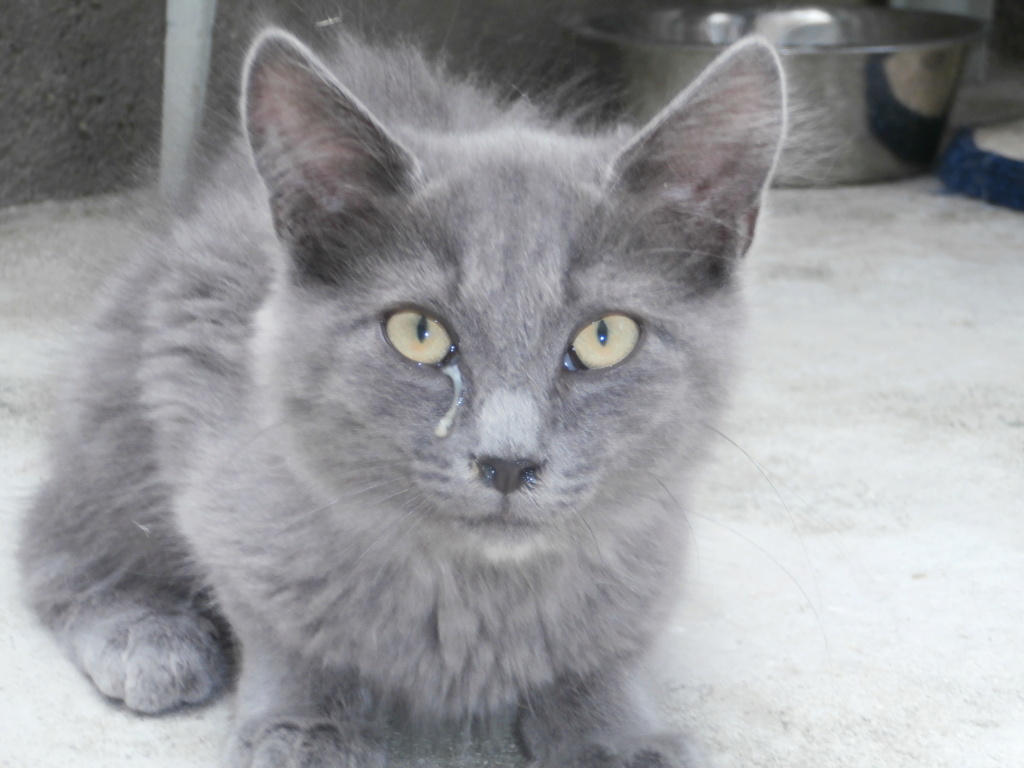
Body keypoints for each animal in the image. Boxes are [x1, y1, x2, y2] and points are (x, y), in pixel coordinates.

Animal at [18, 27, 782, 768]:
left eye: (604, 337)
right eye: (419, 333)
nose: (507, 462)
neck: (479, 597)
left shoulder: (650, 557)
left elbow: (606, 655)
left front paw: (619, 738)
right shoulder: (217, 476)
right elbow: (281, 627)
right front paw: (304, 729)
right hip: (121, 413)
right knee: (52, 543)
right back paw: (149, 640)